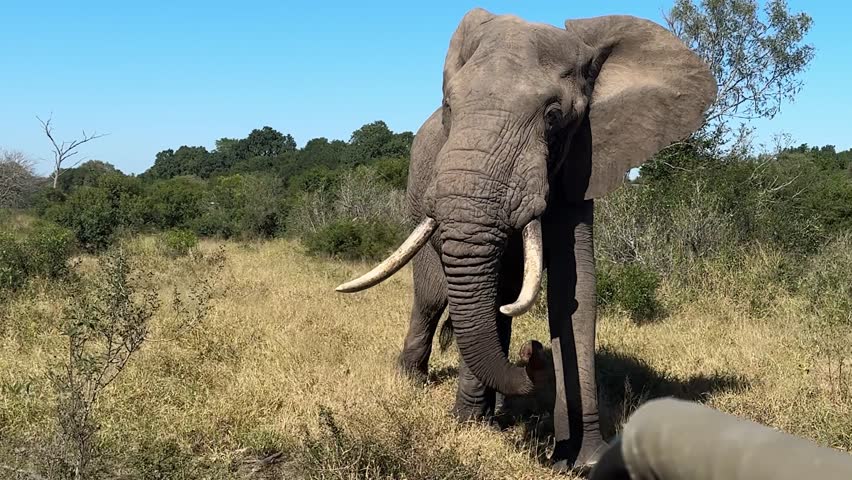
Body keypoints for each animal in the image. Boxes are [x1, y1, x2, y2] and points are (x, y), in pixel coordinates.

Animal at [336, 8, 715, 472]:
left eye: (553, 117)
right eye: (450, 107)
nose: (530, 354)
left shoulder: (582, 161)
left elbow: (575, 291)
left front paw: (583, 459)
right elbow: (495, 288)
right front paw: (469, 426)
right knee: (434, 297)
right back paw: (415, 383)